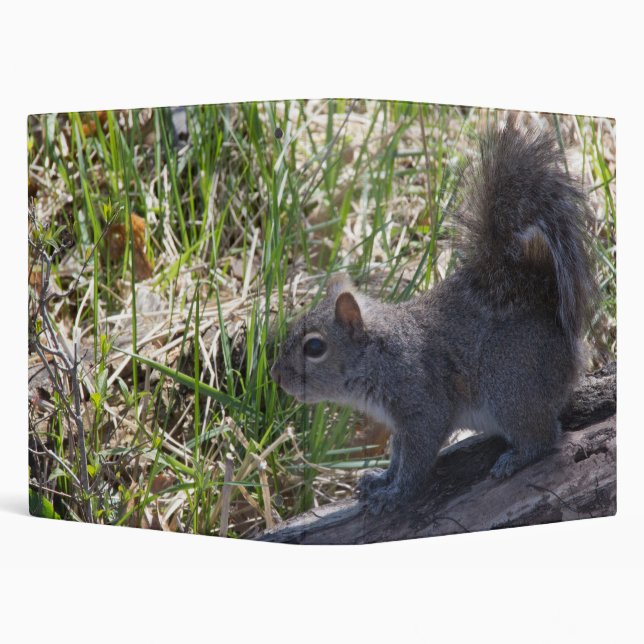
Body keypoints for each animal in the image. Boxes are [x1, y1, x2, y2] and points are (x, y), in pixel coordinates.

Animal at [270, 120, 597, 515]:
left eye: (315, 347)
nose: (276, 376)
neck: (380, 354)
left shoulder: (423, 405)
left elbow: (416, 458)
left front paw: (395, 494)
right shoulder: (400, 422)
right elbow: (398, 454)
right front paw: (381, 478)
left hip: (510, 384)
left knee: (545, 437)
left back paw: (514, 459)